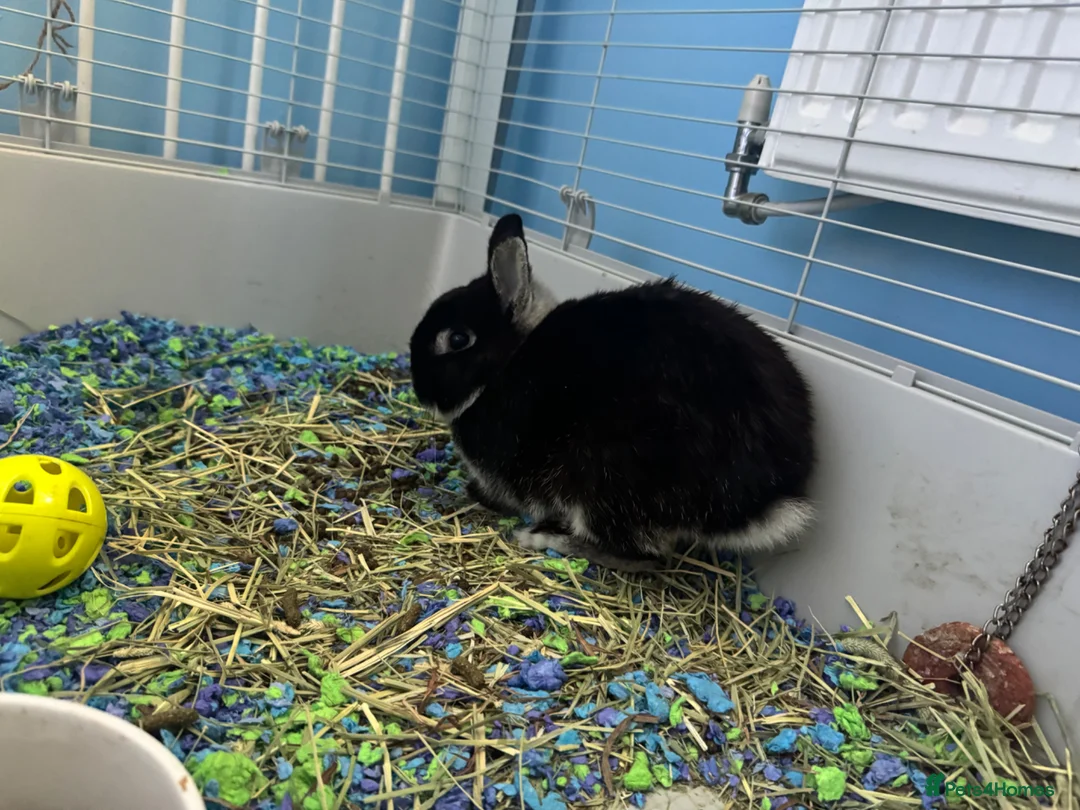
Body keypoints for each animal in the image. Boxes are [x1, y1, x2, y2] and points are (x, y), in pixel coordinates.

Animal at [408, 212, 816, 571]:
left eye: (457, 340)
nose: (419, 390)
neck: (507, 363)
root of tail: (764, 500)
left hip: (607, 484)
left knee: (645, 558)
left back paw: (546, 539)